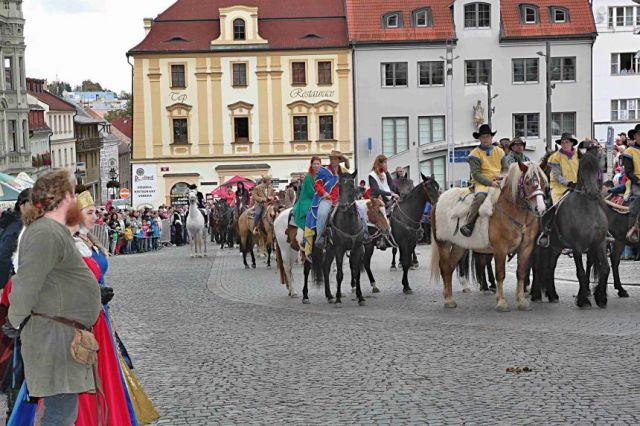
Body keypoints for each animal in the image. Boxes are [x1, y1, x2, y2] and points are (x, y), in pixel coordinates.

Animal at [304, 170, 368, 306]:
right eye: (340, 187)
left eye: (352, 186)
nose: (343, 205)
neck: (349, 223)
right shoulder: (340, 249)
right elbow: (339, 274)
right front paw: (338, 298)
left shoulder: (357, 249)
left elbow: (357, 273)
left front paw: (360, 297)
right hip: (309, 248)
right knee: (307, 269)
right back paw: (305, 296)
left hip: (330, 249)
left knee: (325, 267)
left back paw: (329, 295)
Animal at [430, 161, 544, 312]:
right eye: (527, 181)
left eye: (543, 181)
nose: (540, 208)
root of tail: (438, 201)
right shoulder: (500, 249)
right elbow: (500, 274)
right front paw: (501, 302)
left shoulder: (526, 247)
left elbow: (521, 272)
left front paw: (521, 301)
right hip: (443, 242)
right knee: (444, 267)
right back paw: (448, 300)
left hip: (459, 246)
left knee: (449, 267)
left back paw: (450, 298)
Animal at [528, 148, 608, 308]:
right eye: (582, 169)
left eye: (597, 169)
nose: (593, 193)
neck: (588, 210)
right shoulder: (577, 247)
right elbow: (581, 272)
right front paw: (583, 300)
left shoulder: (600, 244)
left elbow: (605, 269)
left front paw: (601, 298)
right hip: (539, 246)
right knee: (537, 266)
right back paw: (536, 294)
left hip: (555, 247)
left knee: (550, 266)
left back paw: (552, 295)